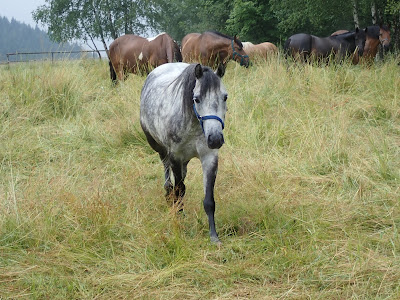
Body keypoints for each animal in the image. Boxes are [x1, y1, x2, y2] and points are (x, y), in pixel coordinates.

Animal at [141, 62, 228, 244]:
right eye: (196, 99)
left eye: (225, 97)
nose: (215, 139)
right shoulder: (175, 157)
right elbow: (179, 190)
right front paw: (179, 218)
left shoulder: (209, 158)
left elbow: (208, 200)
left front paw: (214, 236)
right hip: (162, 151)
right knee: (169, 178)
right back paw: (169, 197)